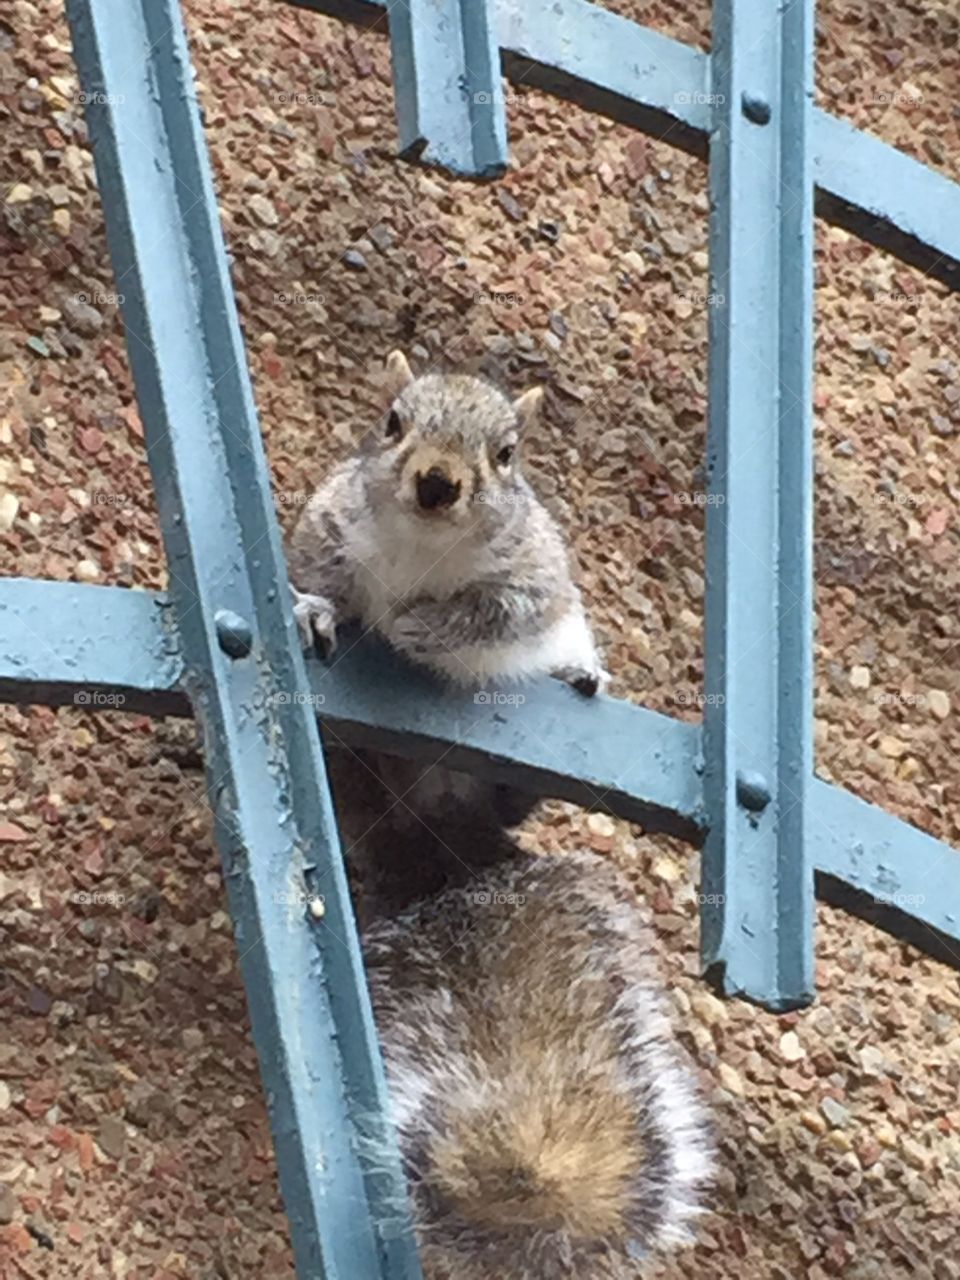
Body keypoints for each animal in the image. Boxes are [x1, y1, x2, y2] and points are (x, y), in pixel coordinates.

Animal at [287, 350, 607, 695]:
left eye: (506, 453)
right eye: (392, 423)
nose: (436, 483)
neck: (422, 542)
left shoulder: (533, 572)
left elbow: (498, 611)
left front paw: (419, 626)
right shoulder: (332, 523)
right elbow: (323, 574)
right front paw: (319, 608)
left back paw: (581, 674)